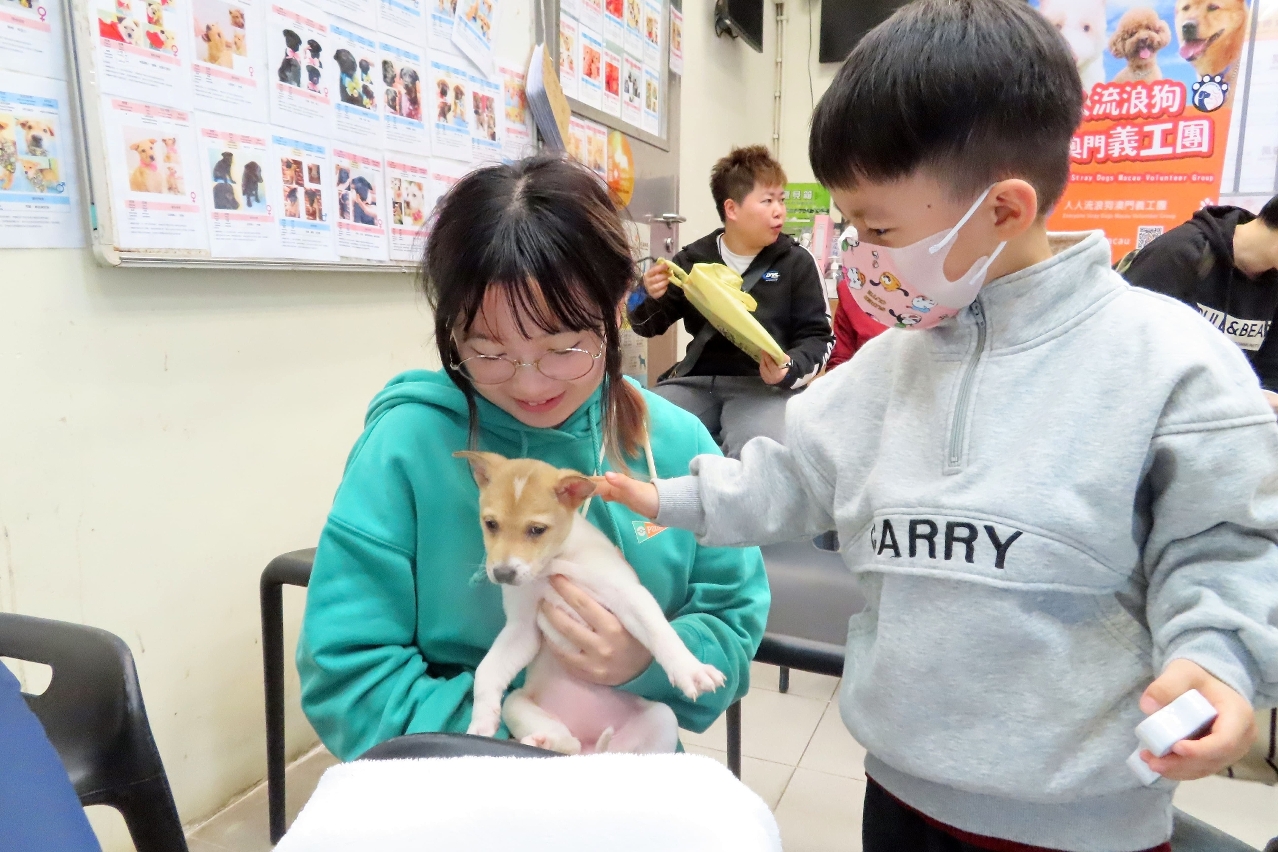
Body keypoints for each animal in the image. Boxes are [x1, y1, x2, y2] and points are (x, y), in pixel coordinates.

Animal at [458, 453, 725, 754]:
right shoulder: (522, 627)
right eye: (491, 524)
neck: (555, 562)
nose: (502, 574)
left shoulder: (630, 595)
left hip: (663, 718)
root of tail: (590, 745)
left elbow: (661, 633)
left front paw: (691, 670)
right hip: (516, 704)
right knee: (569, 746)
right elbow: (487, 670)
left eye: (537, 529)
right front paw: (480, 723)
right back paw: (542, 740)